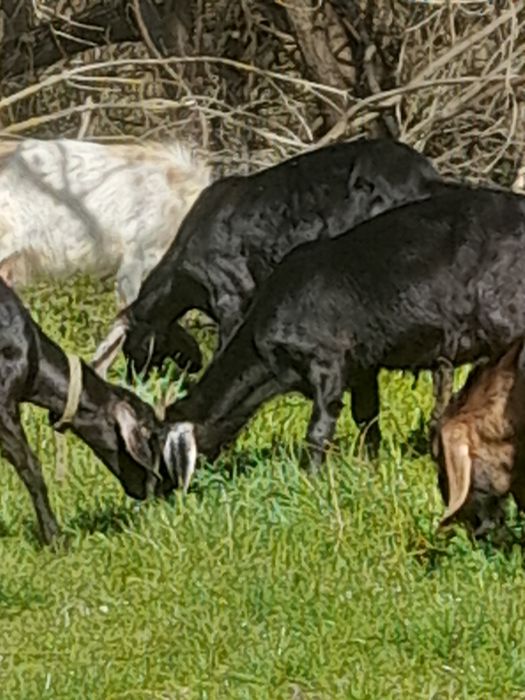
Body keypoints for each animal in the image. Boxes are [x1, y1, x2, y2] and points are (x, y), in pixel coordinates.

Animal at [159, 185, 525, 482]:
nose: (165, 497)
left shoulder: (328, 361)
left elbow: (320, 427)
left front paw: (310, 480)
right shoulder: (364, 367)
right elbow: (367, 418)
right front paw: (370, 470)